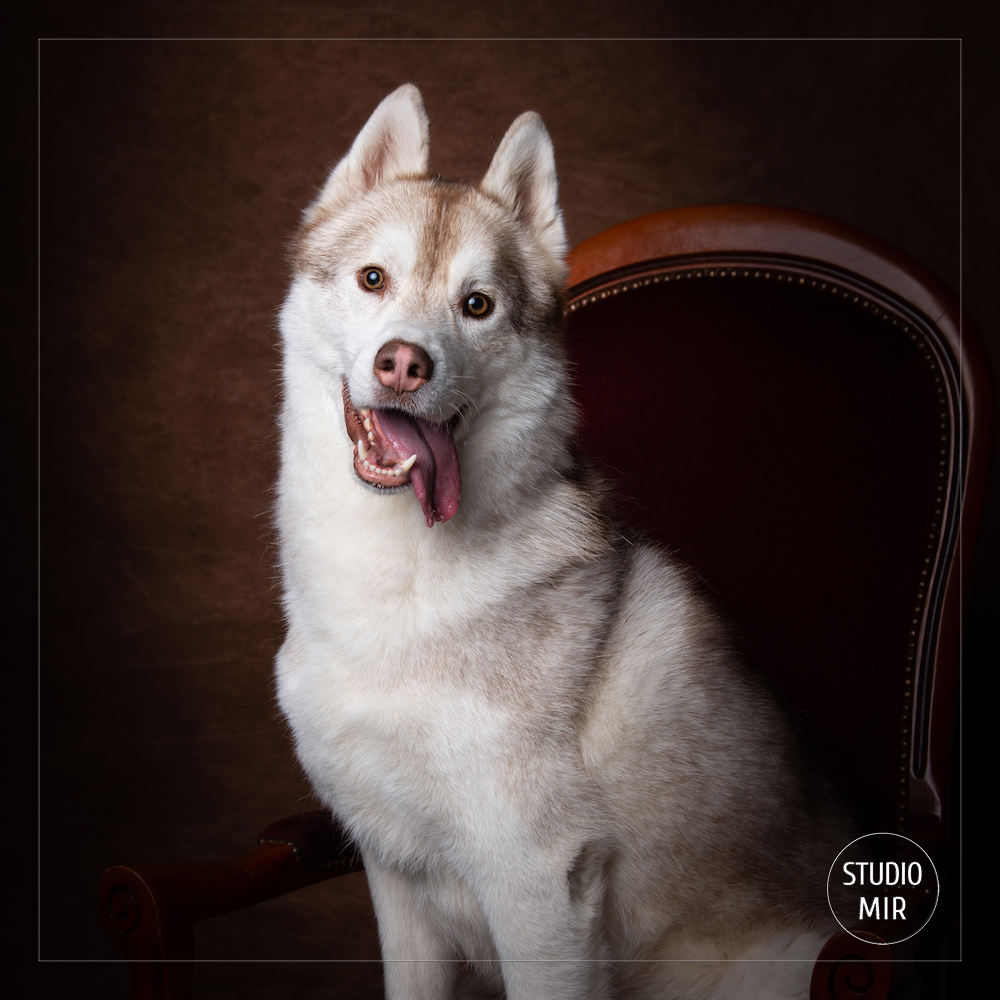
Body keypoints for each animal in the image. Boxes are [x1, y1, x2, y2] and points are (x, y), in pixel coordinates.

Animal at [276, 88, 852, 1000]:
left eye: (477, 305)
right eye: (373, 278)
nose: (404, 363)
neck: (403, 579)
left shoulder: (537, 881)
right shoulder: (392, 872)